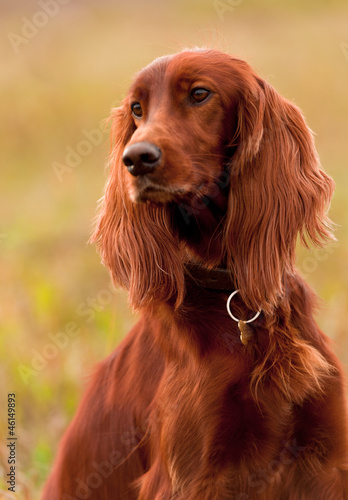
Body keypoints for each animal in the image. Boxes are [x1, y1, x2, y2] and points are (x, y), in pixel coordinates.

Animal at [41, 48, 348, 498]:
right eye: (137, 108)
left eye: (200, 94)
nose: (136, 158)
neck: (236, 300)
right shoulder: (189, 478)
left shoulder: (326, 464)